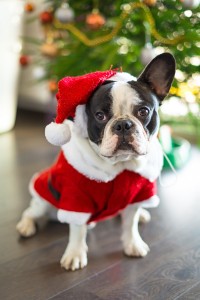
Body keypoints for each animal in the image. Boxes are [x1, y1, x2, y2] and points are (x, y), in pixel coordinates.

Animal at [16, 52, 175, 270]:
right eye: (100, 116)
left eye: (143, 111)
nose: (123, 125)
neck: (119, 166)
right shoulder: (76, 199)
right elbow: (77, 230)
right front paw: (74, 254)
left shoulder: (139, 192)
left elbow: (130, 223)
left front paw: (133, 244)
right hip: (43, 197)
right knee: (32, 211)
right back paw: (26, 225)